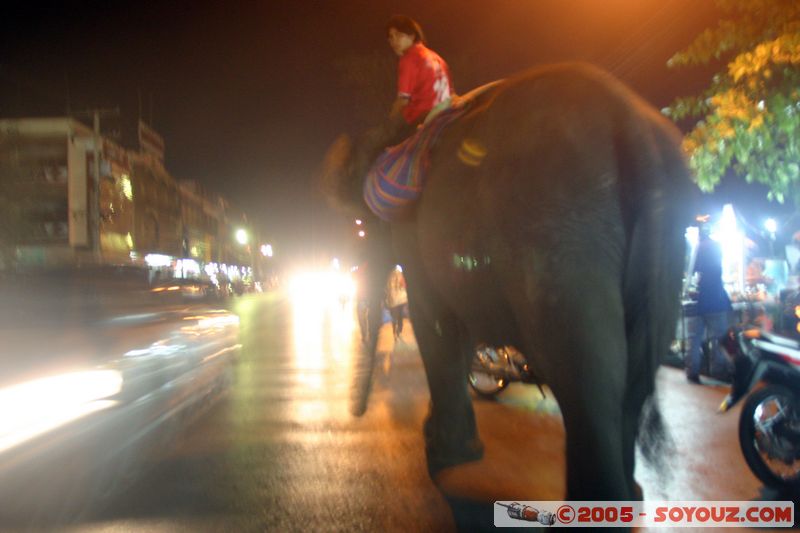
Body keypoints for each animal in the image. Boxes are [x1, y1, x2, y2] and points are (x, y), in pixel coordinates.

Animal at [322, 63, 696, 502]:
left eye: (365, 223)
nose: (356, 414)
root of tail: (630, 121)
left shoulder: (415, 236)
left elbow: (436, 322)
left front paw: (445, 456)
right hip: (666, 241)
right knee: (636, 374)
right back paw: (632, 495)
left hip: (559, 234)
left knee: (590, 378)